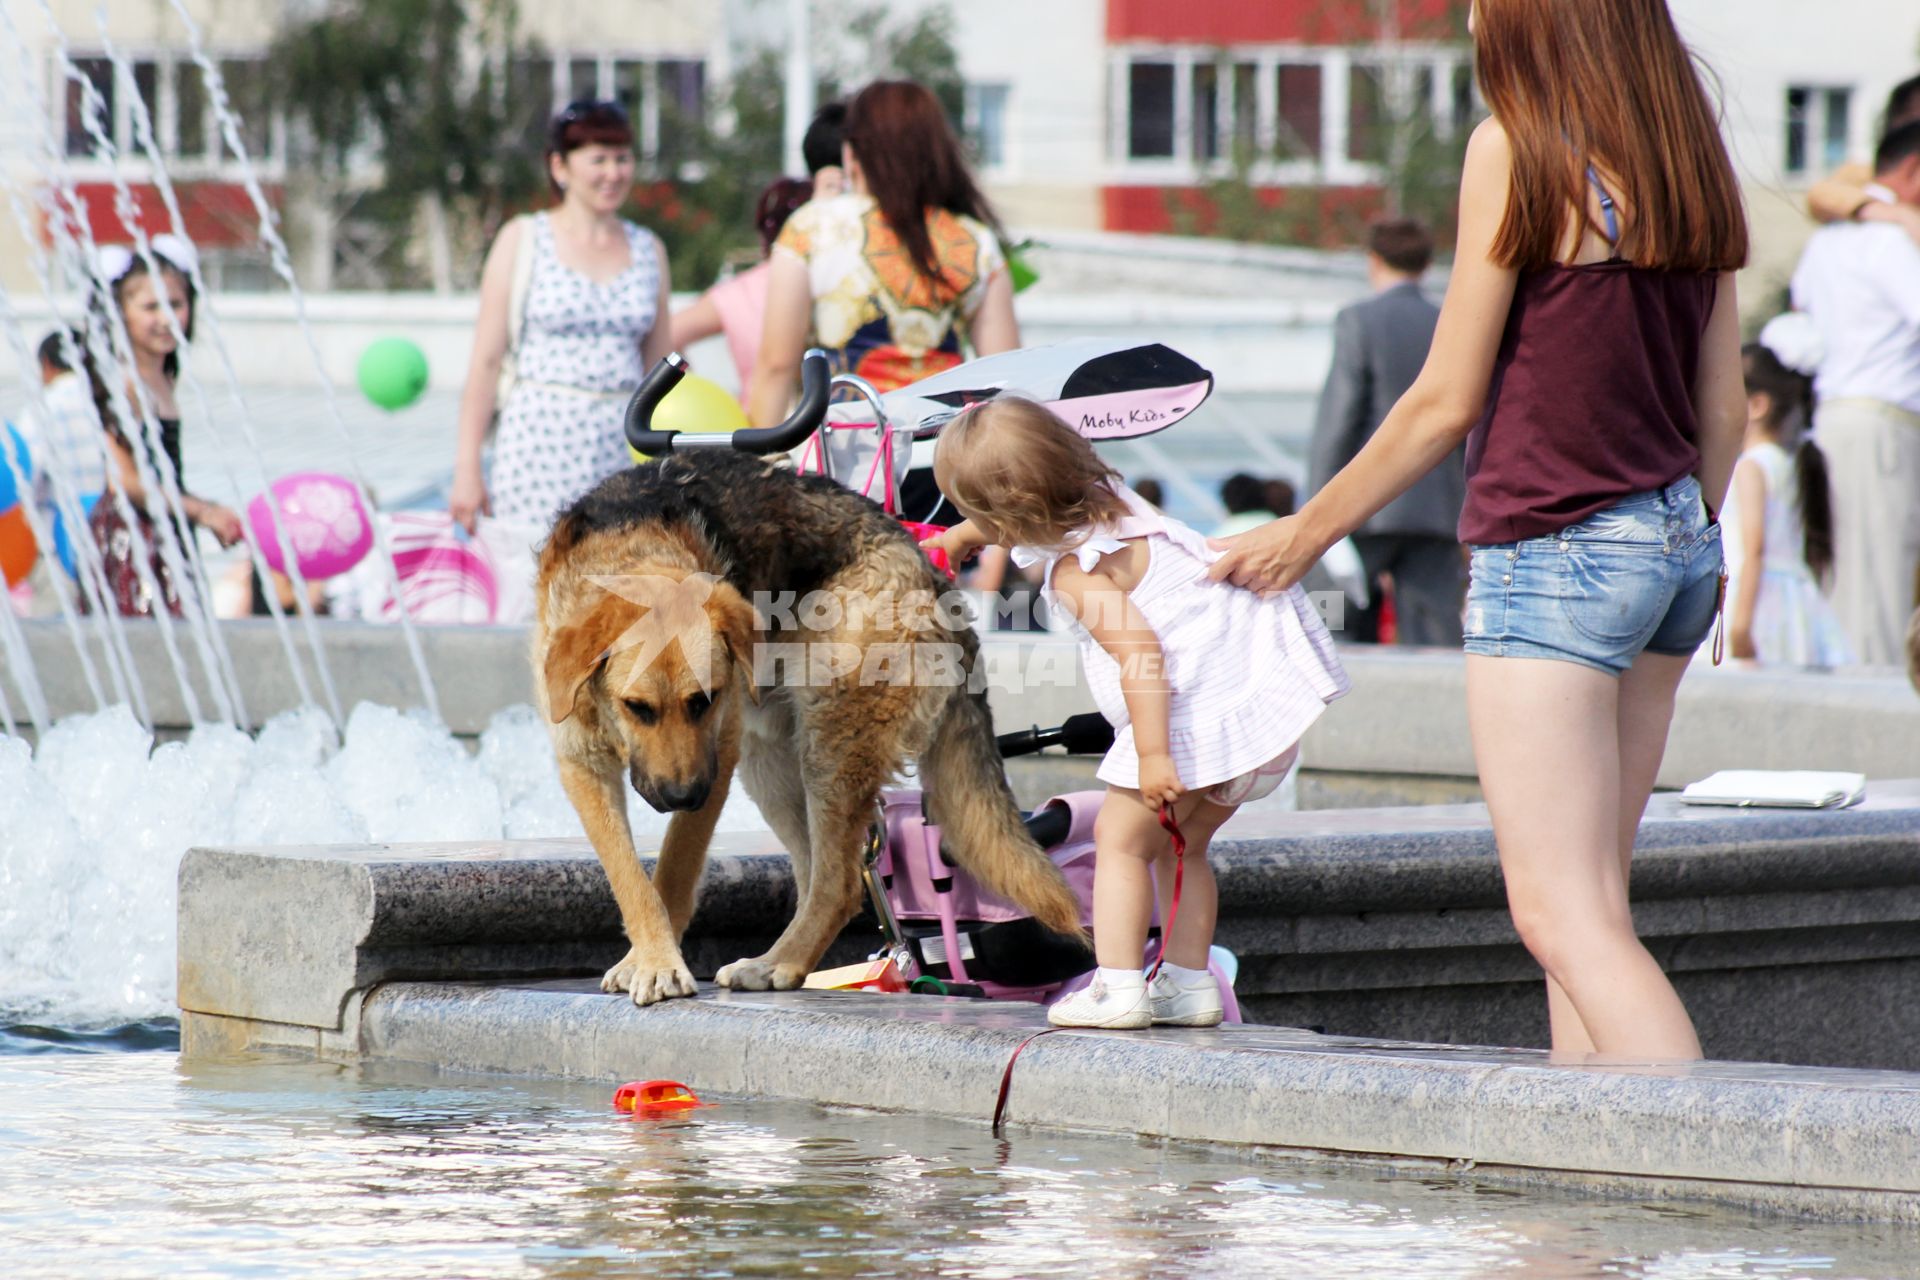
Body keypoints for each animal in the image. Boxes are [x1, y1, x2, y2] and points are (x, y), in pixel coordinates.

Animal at [533, 449, 1090, 997]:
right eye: (637, 708)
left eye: (704, 701)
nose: (683, 796)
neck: (633, 550)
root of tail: (933, 578)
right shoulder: (581, 764)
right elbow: (629, 877)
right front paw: (648, 956)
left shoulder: (718, 754)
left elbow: (673, 865)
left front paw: (657, 964)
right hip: (773, 764)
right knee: (813, 873)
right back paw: (778, 962)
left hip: (827, 746)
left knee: (838, 884)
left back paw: (778, 963)